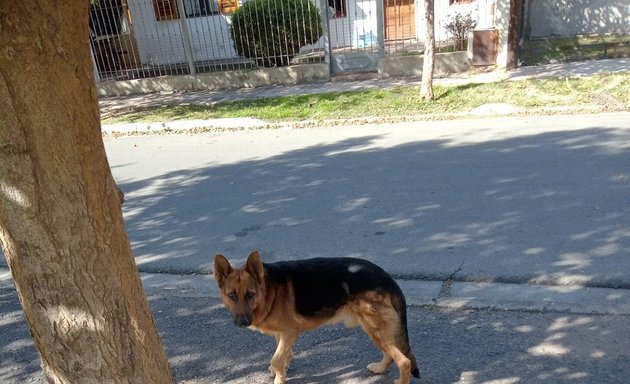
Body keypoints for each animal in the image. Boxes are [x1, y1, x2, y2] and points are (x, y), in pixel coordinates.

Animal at [214, 250, 420, 382]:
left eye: (250, 295)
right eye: (232, 295)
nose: (242, 322)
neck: (268, 291)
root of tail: (386, 278)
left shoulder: (289, 332)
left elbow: (277, 359)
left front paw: (279, 377)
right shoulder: (283, 335)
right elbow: (283, 356)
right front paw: (282, 370)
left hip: (376, 329)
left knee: (404, 361)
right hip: (376, 330)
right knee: (391, 355)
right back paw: (379, 368)